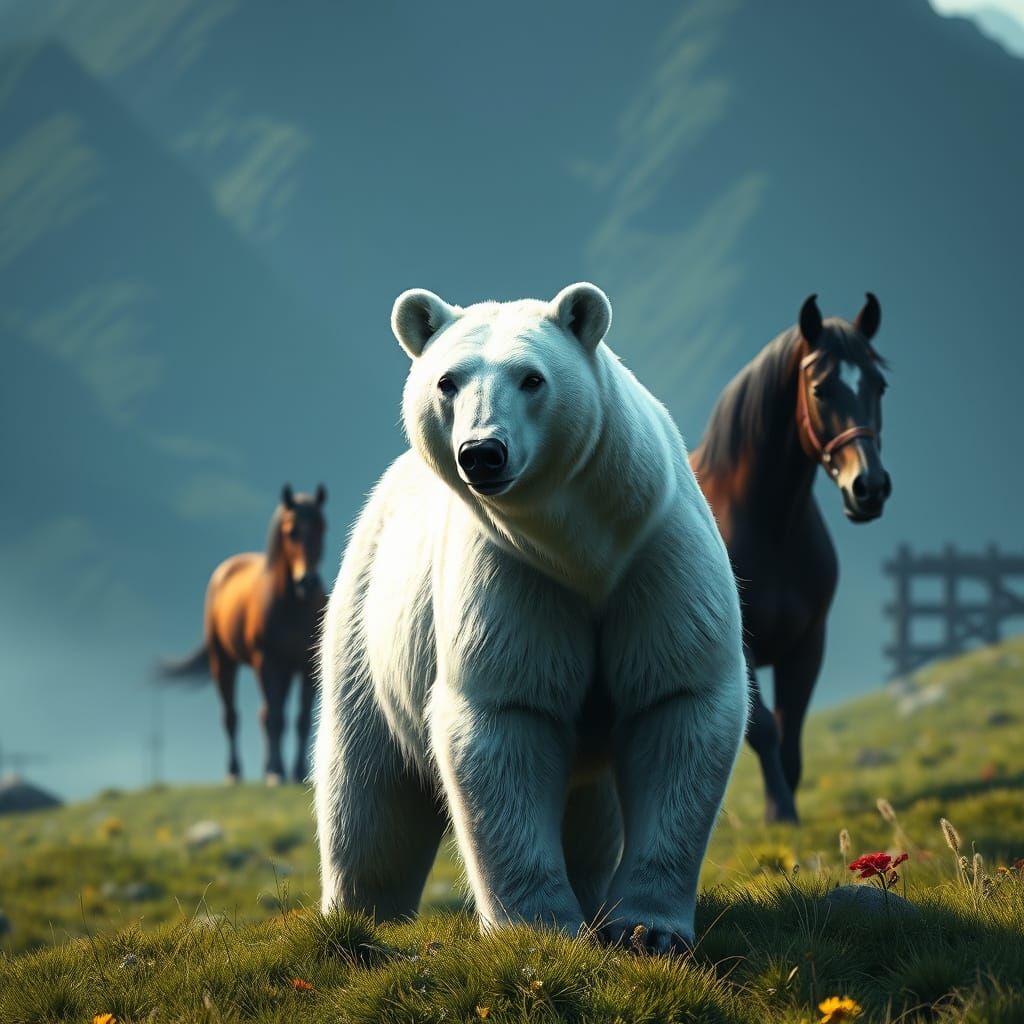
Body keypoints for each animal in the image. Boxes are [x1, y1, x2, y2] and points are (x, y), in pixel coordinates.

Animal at [313, 282, 747, 952]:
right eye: (447, 381)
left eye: (532, 378)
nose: (482, 453)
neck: (582, 549)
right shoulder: (512, 577)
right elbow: (506, 714)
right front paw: (542, 929)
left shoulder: (654, 557)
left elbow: (677, 699)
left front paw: (646, 929)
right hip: (367, 627)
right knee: (370, 793)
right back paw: (360, 916)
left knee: (589, 813)